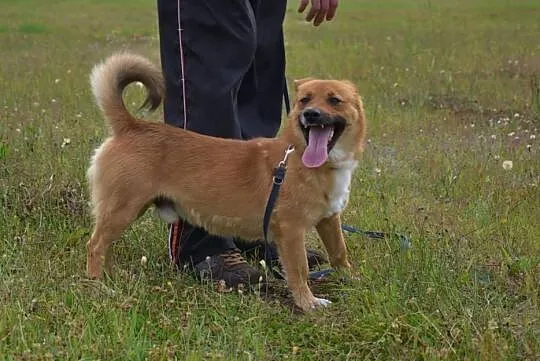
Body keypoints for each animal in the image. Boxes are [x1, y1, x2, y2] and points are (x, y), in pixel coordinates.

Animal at [86, 52, 368, 310]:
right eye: (304, 100)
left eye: (335, 100)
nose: (311, 114)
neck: (301, 159)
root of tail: (131, 125)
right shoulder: (292, 232)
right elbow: (300, 271)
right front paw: (308, 303)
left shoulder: (329, 220)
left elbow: (339, 253)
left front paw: (351, 280)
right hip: (122, 209)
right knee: (96, 245)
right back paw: (99, 285)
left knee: (105, 246)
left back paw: (113, 276)